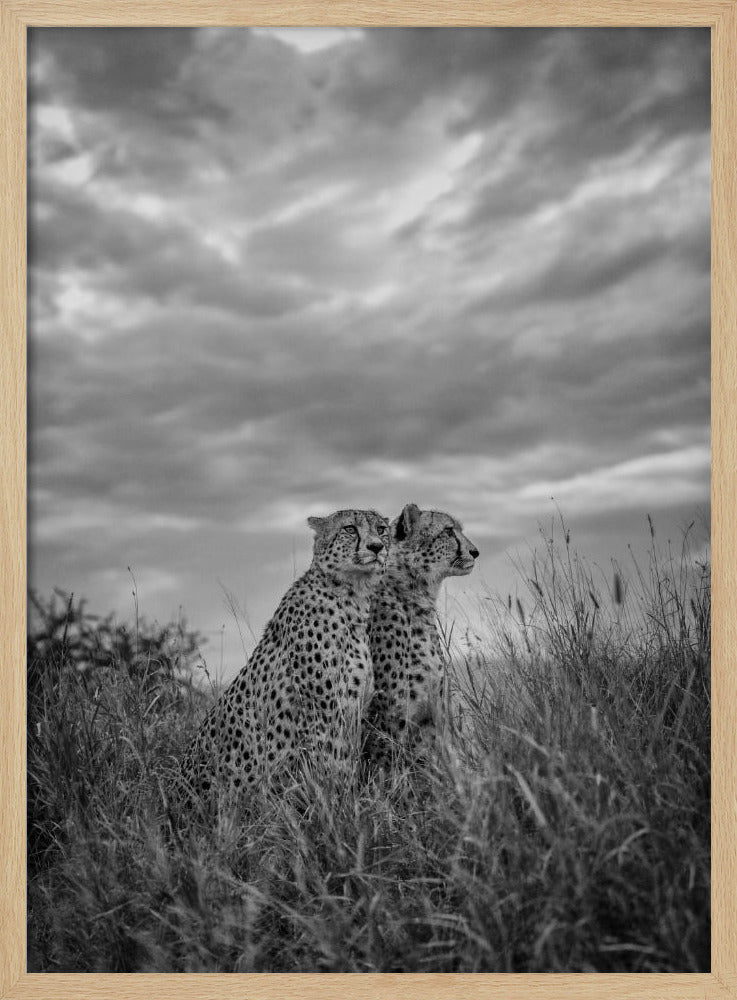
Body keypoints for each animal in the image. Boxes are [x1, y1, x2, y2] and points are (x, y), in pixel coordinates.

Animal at [177, 508, 390, 808]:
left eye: (382, 529)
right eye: (349, 529)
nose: (377, 547)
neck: (351, 595)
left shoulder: (351, 709)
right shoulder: (322, 713)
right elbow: (332, 765)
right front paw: (340, 806)